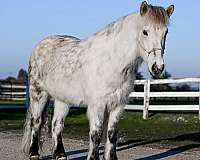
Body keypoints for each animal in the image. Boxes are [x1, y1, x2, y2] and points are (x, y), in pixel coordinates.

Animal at [21, 1, 174, 160]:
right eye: (145, 32)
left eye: (166, 32)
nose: (157, 67)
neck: (112, 61)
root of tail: (40, 46)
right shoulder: (98, 105)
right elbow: (96, 134)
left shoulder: (118, 105)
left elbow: (112, 134)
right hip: (39, 94)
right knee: (36, 122)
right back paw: (34, 153)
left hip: (62, 99)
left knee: (57, 124)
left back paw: (60, 154)